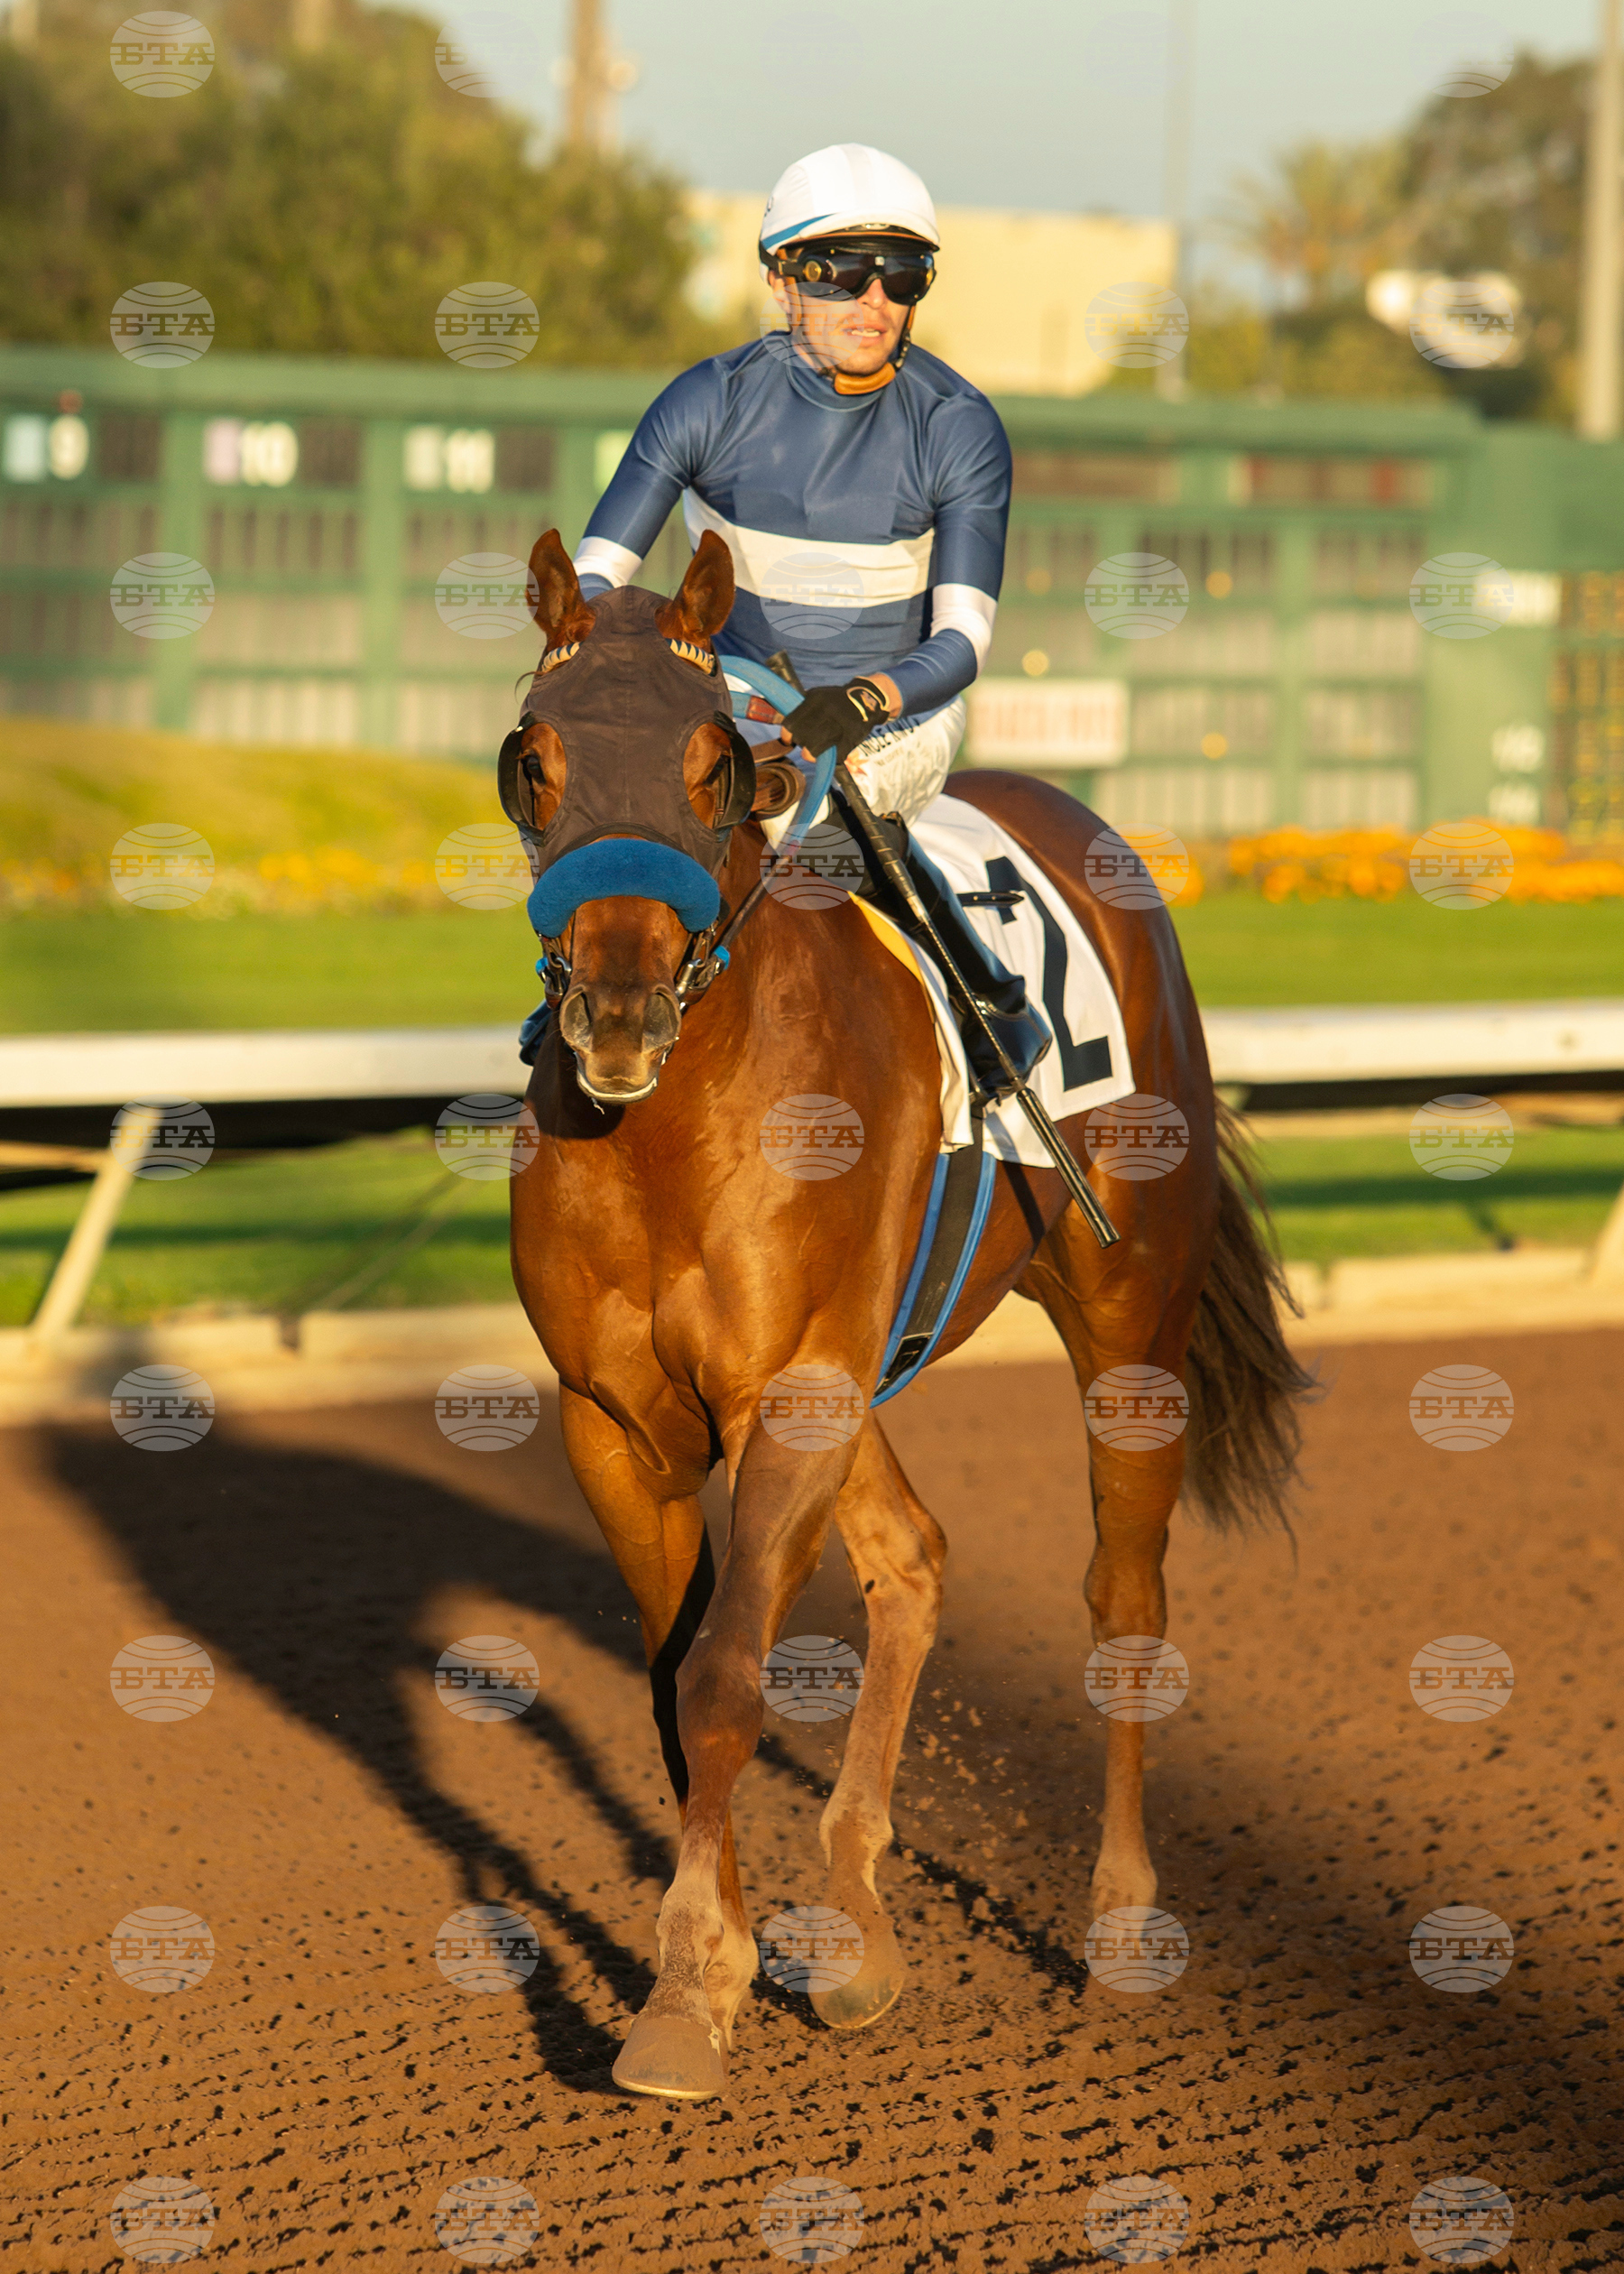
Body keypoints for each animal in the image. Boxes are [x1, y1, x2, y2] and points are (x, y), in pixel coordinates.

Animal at [507, 525, 1313, 2102]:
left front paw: (685, 1995)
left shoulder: (796, 1392)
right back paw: (859, 1935)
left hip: (1128, 1320)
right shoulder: (620, 1419)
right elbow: (675, 1683)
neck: (670, 1127)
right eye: (534, 760)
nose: (619, 1014)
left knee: (1125, 1600)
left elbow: (723, 1680)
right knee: (916, 1559)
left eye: (719, 765)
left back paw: (1120, 1928)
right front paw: (724, 1969)